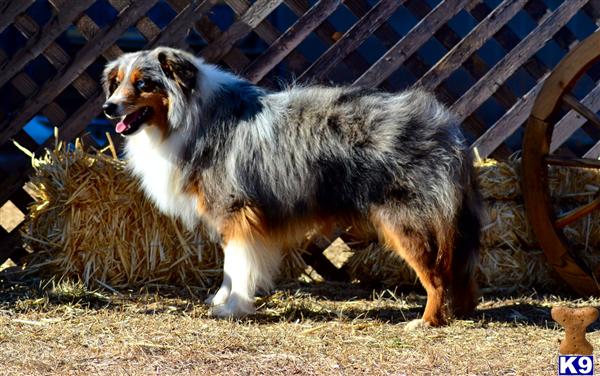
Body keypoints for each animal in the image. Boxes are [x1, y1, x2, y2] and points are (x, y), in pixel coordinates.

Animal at [101, 47, 480, 328]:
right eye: (116, 83)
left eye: (143, 83)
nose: (107, 107)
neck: (192, 115)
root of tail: (448, 128)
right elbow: (228, 268)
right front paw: (221, 298)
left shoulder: (237, 212)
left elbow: (237, 264)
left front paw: (232, 307)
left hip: (407, 223)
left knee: (437, 276)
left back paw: (428, 320)